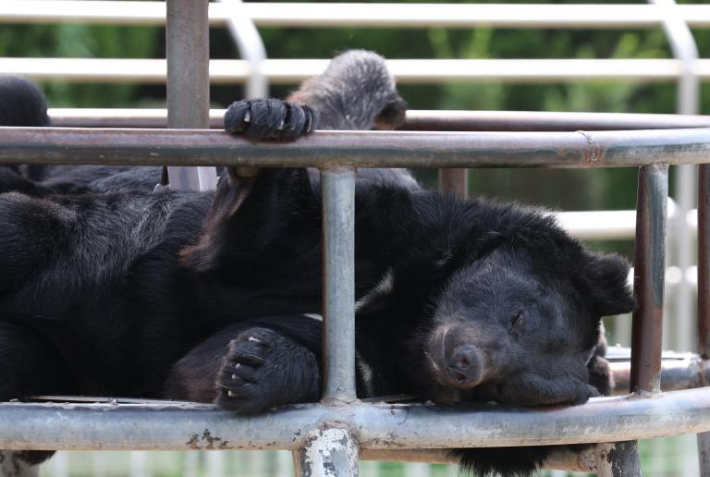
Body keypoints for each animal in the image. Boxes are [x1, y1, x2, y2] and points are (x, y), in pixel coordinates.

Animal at [0, 50, 636, 474]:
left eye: (504, 392)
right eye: (520, 316)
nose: (465, 364)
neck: (412, 312)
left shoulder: (372, 372)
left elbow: (198, 369)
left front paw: (258, 366)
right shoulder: (383, 218)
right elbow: (248, 246)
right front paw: (269, 120)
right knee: (25, 198)